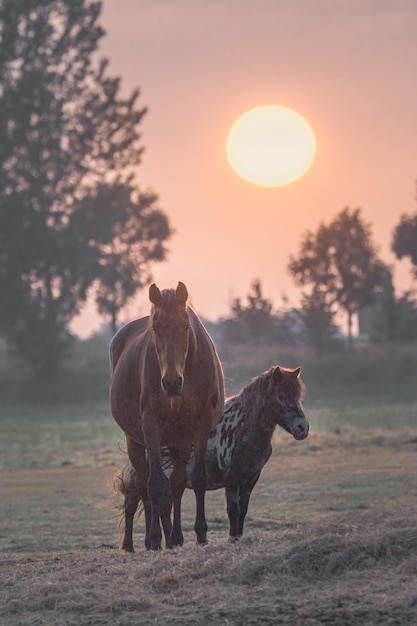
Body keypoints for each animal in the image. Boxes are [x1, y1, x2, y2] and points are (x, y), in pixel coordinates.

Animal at [109, 280, 223, 548]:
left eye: (185, 325)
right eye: (155, 328)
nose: (171, 383)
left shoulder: (200, 428)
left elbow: (195, 479)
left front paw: (200, 533)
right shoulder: (151, 428)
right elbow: (155, 485)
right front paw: (153, 537)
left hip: (179, 442)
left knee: (177, 484)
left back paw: (175, 537)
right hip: (136, 440)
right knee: (143, 484)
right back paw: (153, 540)